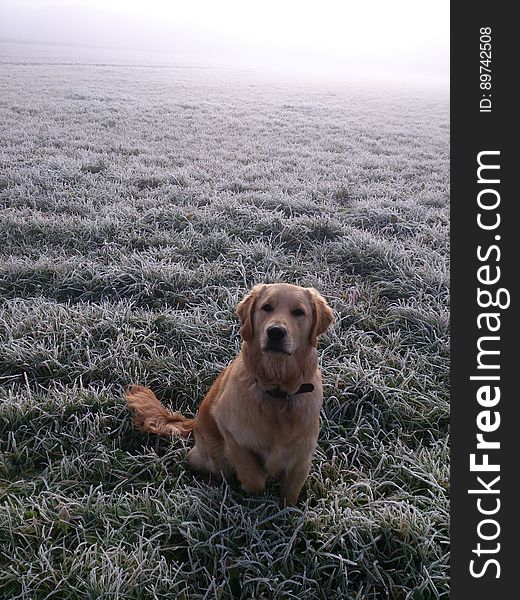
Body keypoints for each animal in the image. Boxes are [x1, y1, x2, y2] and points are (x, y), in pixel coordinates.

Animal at [125, 284, 334, 504]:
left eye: (298, 312)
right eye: (267, 307)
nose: (275, 332)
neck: (277, 389)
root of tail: (195, 422)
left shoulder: (301, 457)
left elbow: (290, 496)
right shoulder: (232, 434)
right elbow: (254, 479)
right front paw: (250, 487)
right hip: (210, 456)